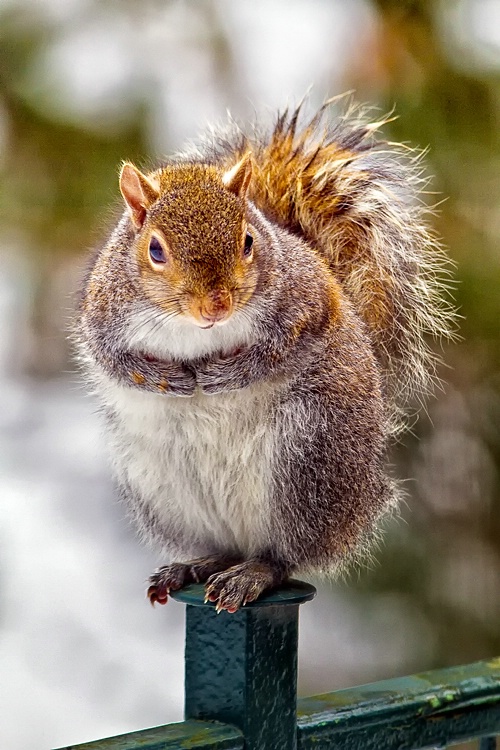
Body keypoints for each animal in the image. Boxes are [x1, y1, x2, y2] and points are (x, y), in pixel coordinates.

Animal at [76, 98, 456, 616]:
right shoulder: (102, 313)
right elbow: (110, 357)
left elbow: (280, 347)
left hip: (308, 458)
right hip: (160, 483)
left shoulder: (307, 300)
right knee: (222, 548)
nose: (215, 306)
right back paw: (195, 566)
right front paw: (164, 378)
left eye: (247, 242)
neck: (195, 332)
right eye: (155, 250)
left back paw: (254, 573)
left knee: (287, 555)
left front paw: (229, 372)